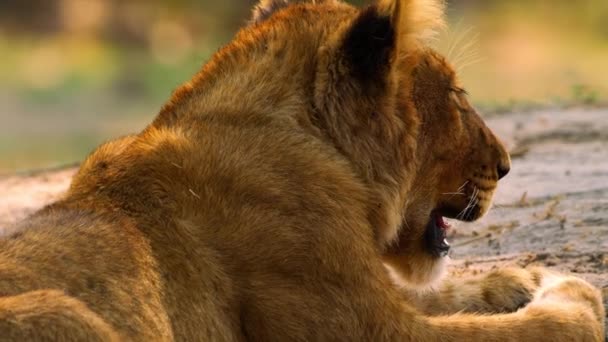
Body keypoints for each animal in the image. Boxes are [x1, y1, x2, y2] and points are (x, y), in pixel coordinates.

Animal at [0, 0, 604, 340]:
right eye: (457, 96)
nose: (506, 166)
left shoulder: (363, 287)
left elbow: (435, 295)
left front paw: (519, 281)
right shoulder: (367, 330)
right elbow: (525, 331)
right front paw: (575, 298)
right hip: (63, 311)